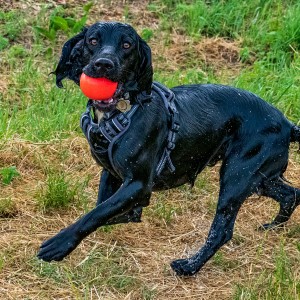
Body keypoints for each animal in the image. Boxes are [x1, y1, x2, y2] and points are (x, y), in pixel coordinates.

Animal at [37, 21, 300, 276]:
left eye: (126, 45)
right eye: (93, 41)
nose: (103, 64)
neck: (122, 112)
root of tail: (288, 124)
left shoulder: (139, 185)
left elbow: (96, 213)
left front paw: (59, 244)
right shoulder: (112, 175)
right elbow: (106, 208)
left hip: (236, 178)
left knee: (221, 232)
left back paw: (189, 266)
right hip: (259, 179)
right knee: (291, 194)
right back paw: (272, 226)